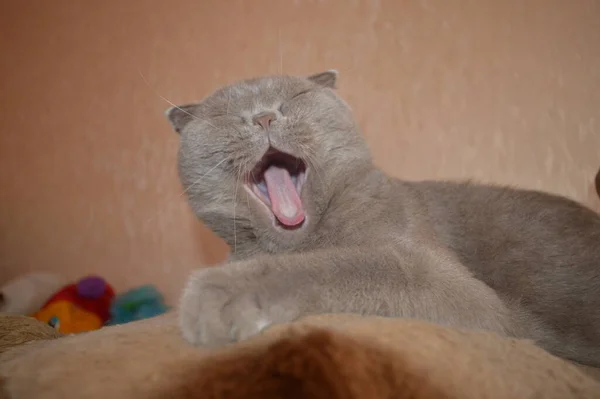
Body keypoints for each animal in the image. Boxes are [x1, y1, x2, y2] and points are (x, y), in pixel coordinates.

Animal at [164, 72, 600, 368]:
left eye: (297, 96)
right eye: (225, 115)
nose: (265, 118)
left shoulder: (451, 285)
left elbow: (348, 264)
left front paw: (215, 293)